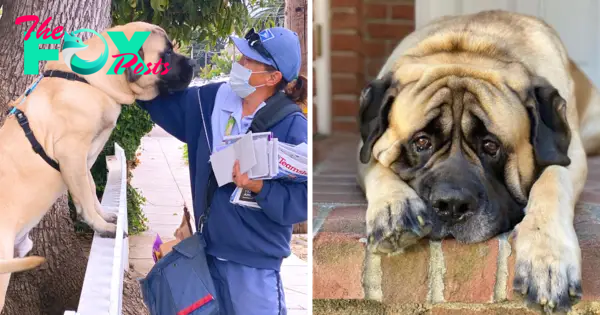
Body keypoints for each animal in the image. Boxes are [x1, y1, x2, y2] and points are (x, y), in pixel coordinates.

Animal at [0, 21, 193, 312]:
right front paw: (102, 227)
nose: (193, 63)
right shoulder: (72, 153)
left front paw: (105, 216)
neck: (94, 82)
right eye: (167, 53)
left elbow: (90, 191)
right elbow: (85, 196)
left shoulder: (86, 159)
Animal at [356, 9, 600, 314]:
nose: (451, 205)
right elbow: (377, 165)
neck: (472, 45)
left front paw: (546, 258)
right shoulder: (365, 147)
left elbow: (552, 180)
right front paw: (393, 209)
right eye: (422, 142)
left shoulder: (570, 155)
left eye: (490, 146)